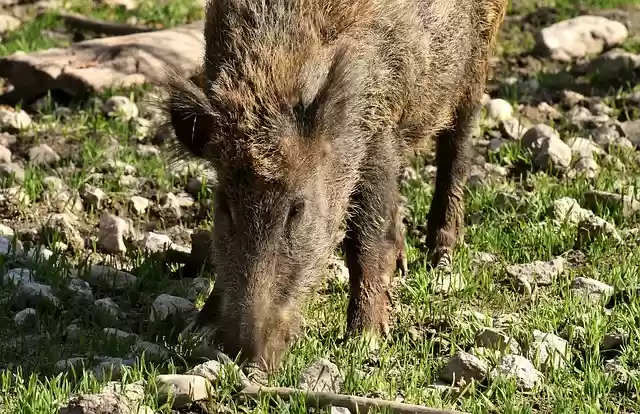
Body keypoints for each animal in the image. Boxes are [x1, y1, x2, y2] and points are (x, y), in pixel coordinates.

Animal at [160, 0, 508, 371]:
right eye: (225, 206)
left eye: (297, 209)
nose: (245, 356)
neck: (275, 68)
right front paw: (198, 328)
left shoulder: (378, 131)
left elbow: (365, 240)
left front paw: (363, 341)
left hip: (478, 59)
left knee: (457, 146)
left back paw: (440, 260)